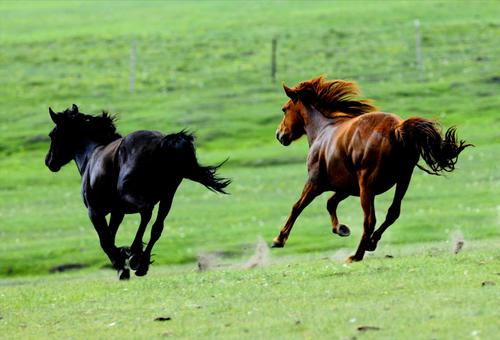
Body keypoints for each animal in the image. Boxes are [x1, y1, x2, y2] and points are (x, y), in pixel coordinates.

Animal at [45, 103, 230, 278]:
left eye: (52, 135)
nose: (48, 161)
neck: (92, 154)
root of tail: (161, 143)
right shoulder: (117, 212)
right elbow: (111, 235)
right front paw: (123, 255)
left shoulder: (94, 211)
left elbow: (105, 240)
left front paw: (122, 266)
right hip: (167, 197)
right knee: (157, 227)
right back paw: (142, 264)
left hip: (132, 194)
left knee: (146, 212)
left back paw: (134, 254)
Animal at [272, 77, 470, 262]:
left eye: (284, 109)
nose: (279, 135)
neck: (322, 130)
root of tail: (396, 129)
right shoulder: (346, 187)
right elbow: (330, 203)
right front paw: (341, 229)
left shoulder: (315, 183)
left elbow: (297, 207)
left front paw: (278, 240)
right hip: (402, 179)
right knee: (392, 213)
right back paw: (371, 243)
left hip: (367, 187)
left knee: (369, 220)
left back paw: (356, 255)